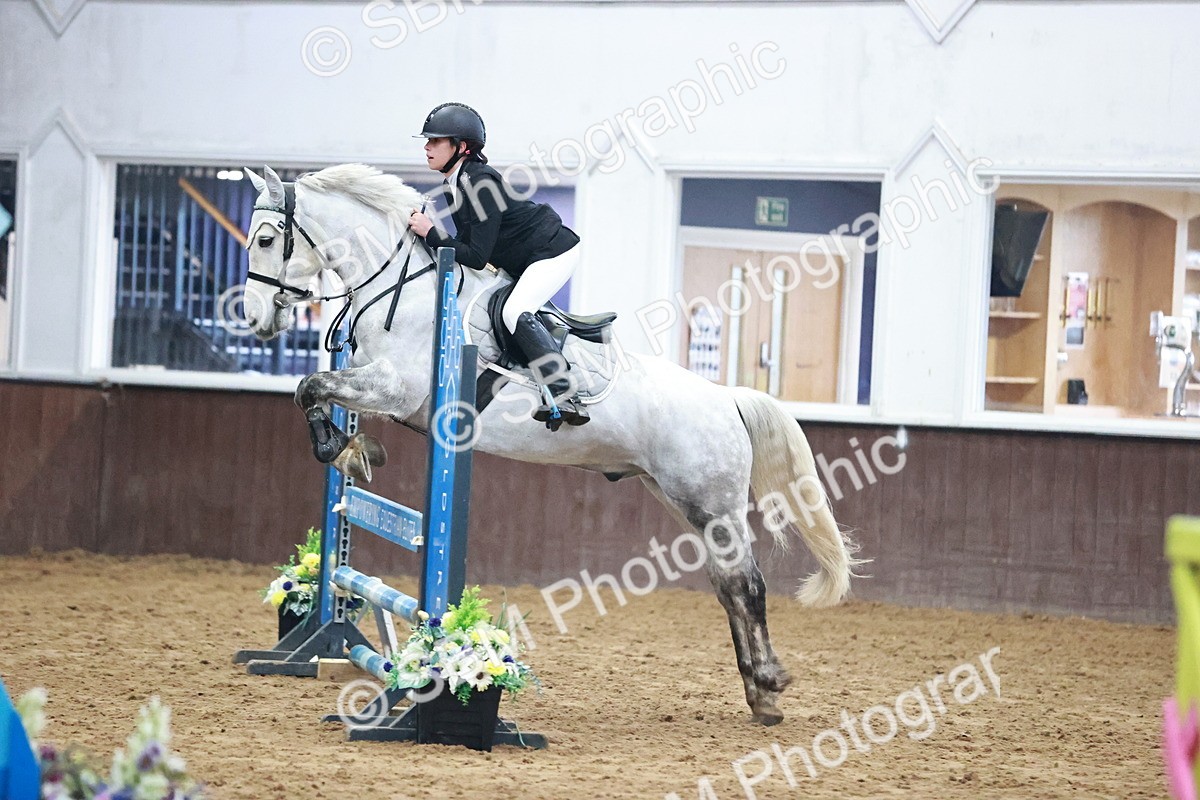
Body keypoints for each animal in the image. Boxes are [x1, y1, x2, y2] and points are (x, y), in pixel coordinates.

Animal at [240, 163, 861, 726]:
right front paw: (354, 450)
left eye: (266, 240)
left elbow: (310, 386)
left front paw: (347, 450)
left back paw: (770, 686)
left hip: (713, 502)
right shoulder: (376, 383)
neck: (404, 289)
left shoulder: (398, 388)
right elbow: (313, 390)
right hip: (681, 498)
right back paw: (759, 693)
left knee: (748, 585)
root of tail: (727, 397)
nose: (254, 318)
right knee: (729, 585)